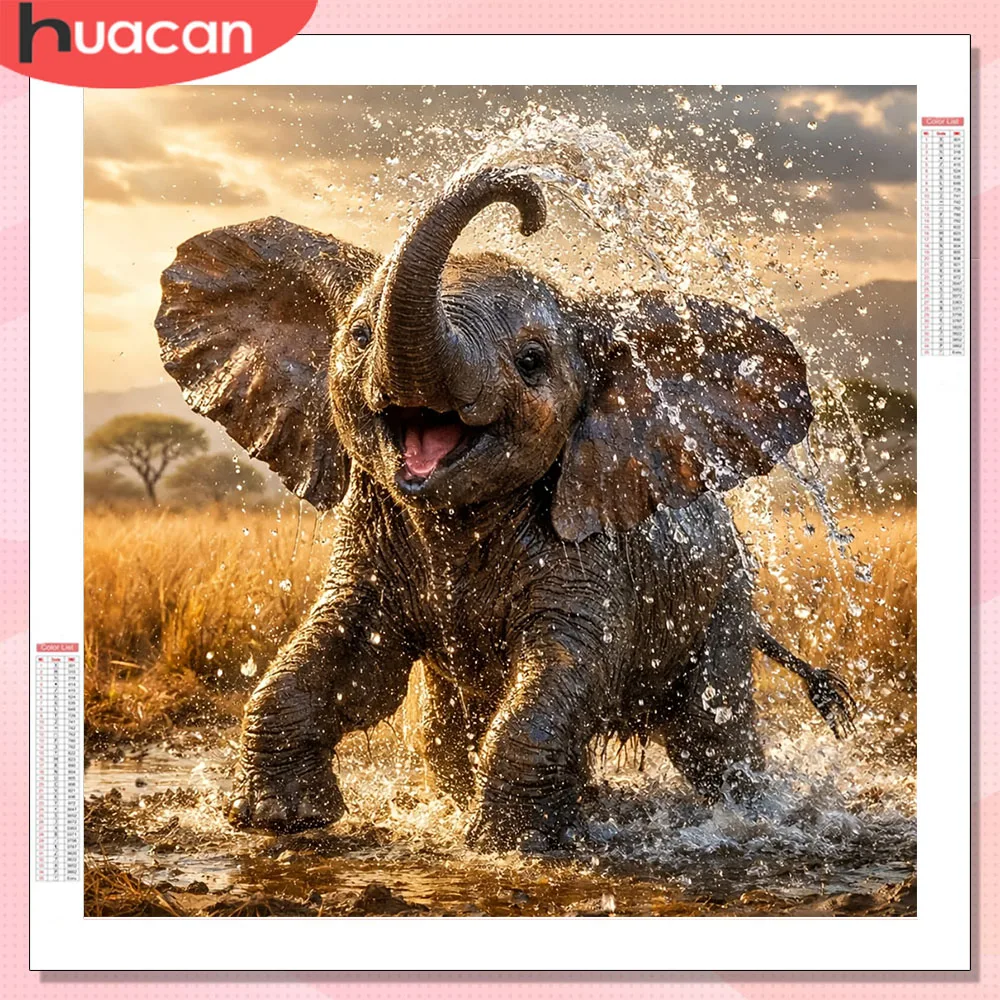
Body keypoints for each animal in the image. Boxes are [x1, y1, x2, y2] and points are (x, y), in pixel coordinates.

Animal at [155, 165, 855, 852]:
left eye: (531, 362)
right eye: (358, 336)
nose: (530, 205)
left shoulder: (589, 549)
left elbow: (564, 665)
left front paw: (507, 845)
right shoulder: (374, 534)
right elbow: (338, 652)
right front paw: (279, 819)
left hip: (723, 601)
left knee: (712, 732)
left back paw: (748, 819)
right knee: (441, 734)